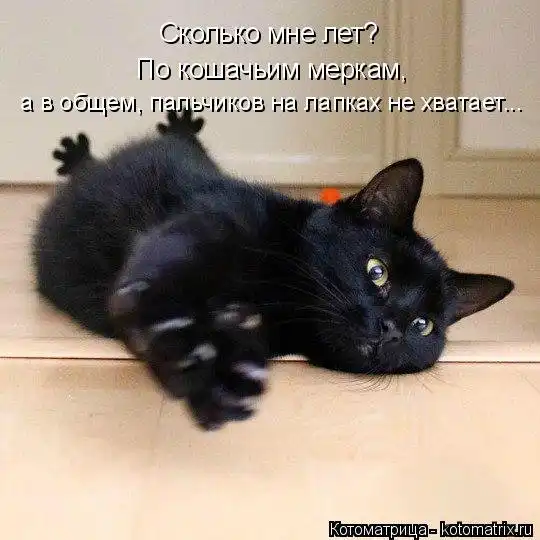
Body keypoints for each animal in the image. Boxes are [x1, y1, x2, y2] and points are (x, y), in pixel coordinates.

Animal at [32, 109, 514, 430]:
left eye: (423, 325)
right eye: (377, 271)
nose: (392, 328)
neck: (283, 300)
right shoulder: (207, 219)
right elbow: (170, 268)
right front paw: (193, 356)